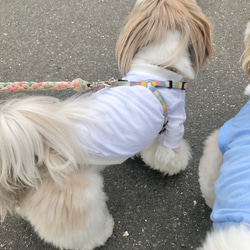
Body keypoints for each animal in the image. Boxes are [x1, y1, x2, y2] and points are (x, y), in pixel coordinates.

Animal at [0, 0, 212, 250]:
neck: (156, 69)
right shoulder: (174, 125)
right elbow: (169, 153)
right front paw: (174, 165)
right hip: (77, 197)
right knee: (76, 231)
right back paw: (100, 234)